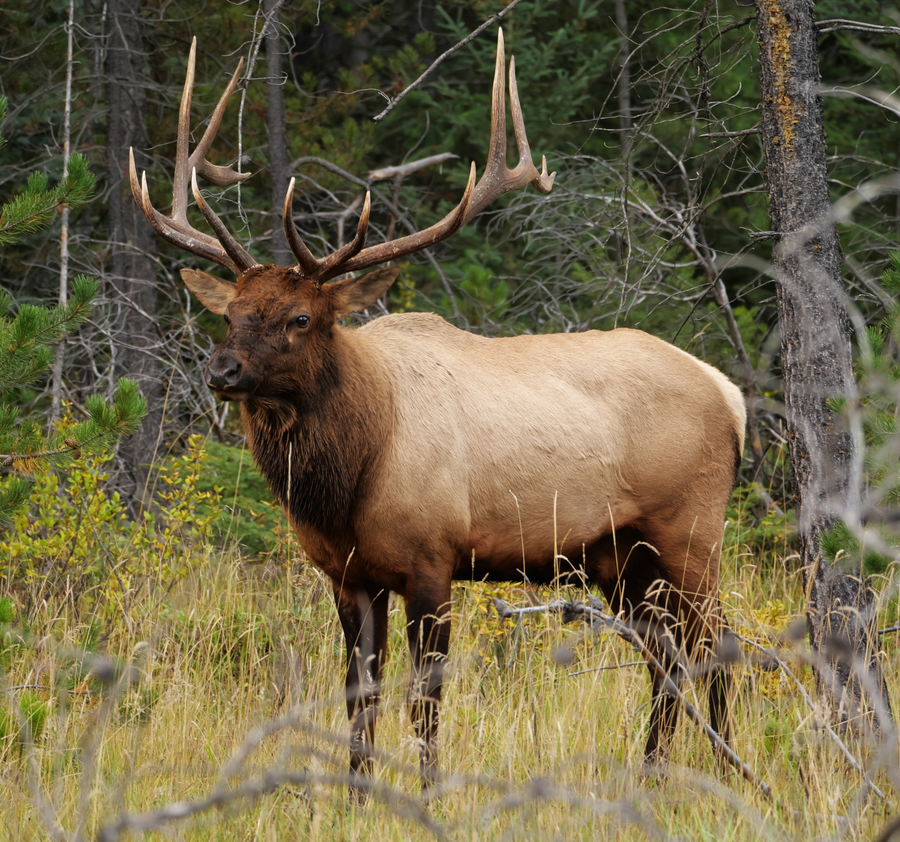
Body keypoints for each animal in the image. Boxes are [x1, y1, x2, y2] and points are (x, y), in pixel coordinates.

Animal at [129, 32, 746, 794]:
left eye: (302, 317)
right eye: (232, 313)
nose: (222, 370)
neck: (351, 474)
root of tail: (730, 394)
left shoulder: (432, 559)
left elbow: (425, 698)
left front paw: (427, 791)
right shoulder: (349, 576)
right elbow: (360, 694)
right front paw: (357, 793)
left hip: (691, 529)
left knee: (718, 642)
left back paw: (726, 772)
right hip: (618, 553)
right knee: (664, 654)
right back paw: (652, 773)